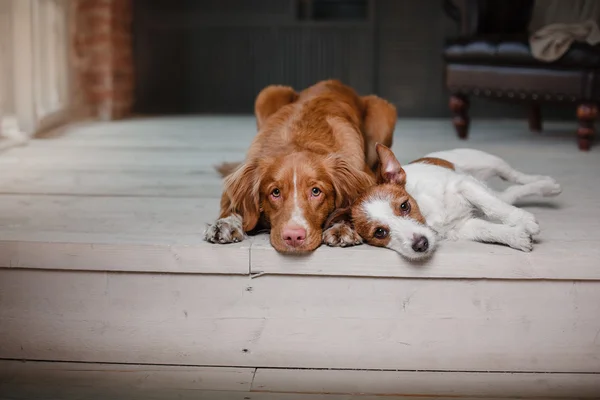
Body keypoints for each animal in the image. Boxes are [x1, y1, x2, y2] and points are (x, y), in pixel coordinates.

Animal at [204, 79, 396, 253]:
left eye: (316, 191)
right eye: (275, 192)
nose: (294, 237)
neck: (302, 140)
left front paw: (342, 227)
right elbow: (230, 204)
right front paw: (225, 223)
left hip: (383, 111)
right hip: (269, 94)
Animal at [338, 144, 564, 260]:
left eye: (404, 206)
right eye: (379, 232)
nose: (421, 244)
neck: (429, 215)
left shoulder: (464, 185)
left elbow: (493, 208)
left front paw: (522, 220)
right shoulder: (463, 227)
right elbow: (488, 230)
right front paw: (515, 236)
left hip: (489, 163)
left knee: (515, 177)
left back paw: (546, 184)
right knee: (511, 192)